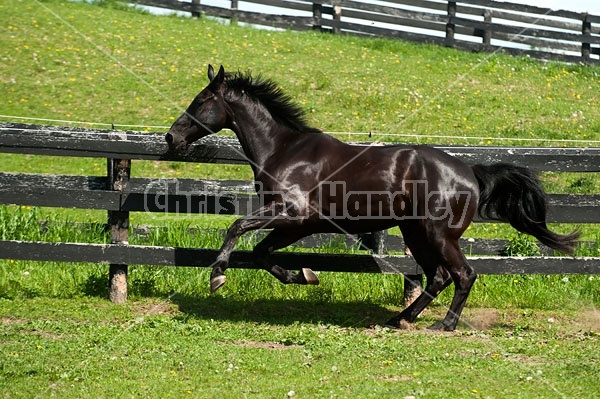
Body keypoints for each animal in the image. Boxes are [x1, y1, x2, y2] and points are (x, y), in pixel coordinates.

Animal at [166, 65, 580, 332]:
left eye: (201, 100)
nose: (172, 137)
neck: (285, 150)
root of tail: (471, 172)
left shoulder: (290, 212)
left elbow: (238, 227)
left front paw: (217, 276)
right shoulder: (297, 224)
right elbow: (262, 253)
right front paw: (306, 275)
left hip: (438, 234)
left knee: (463, 274)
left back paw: (443, 324)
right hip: (416, 234)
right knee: (438, 276)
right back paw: (400, 318)